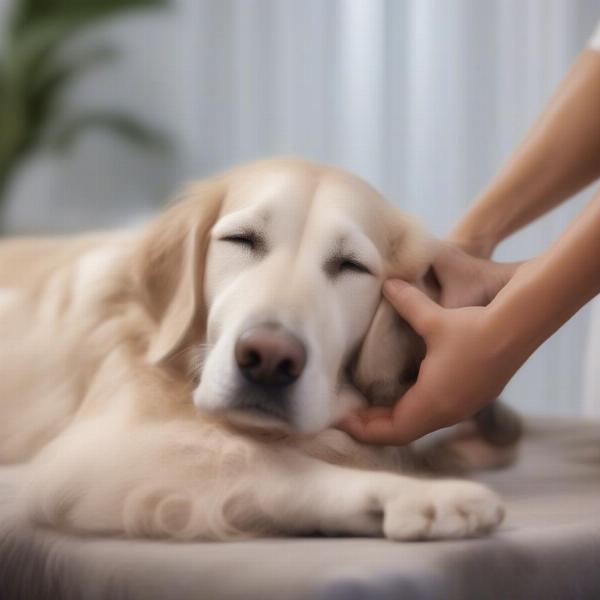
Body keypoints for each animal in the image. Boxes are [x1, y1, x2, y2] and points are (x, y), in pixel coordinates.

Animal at [0, 158, 516, 540]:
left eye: (351, 266)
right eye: (241, 239)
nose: (268, 359)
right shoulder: (90, 455)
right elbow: (272, 464)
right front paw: (421, 495)